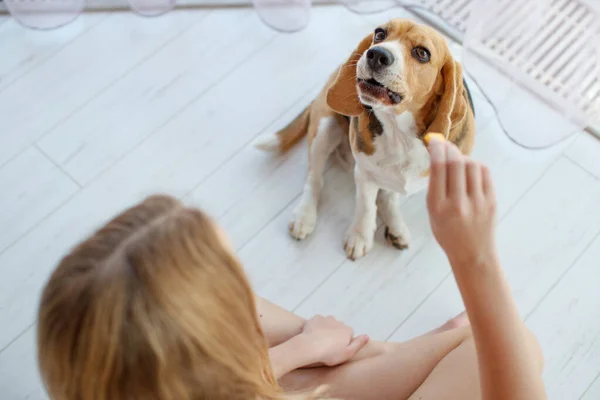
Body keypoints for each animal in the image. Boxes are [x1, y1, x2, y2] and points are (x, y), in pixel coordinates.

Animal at [255, 18, 476, 260]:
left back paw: (396, 225)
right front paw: (360, 237)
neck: (400, 134)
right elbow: (366, 207)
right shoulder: (364, 174)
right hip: (324, 128)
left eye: (422, 53)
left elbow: (388, 196)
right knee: (314, 178)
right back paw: (304, 215)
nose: (376, 54)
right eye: (379, 34)